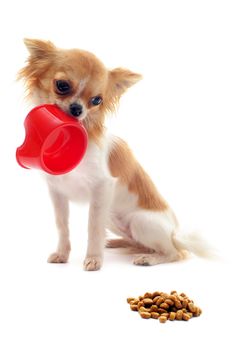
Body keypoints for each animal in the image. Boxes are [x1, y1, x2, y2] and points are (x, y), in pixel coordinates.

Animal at [17, 39, 211, 272]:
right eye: (62, 86)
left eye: (96, 100)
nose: (77, 109)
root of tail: (175, 233)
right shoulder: (57, 192)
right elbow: (62, 225)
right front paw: (62, 254)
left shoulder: (101, 188)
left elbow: (93, 228)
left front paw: (94, 259)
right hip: (112, 217)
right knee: (139, 242)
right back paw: (119, 243)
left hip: (139, 222)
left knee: (175, 253)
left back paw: (149, 258)